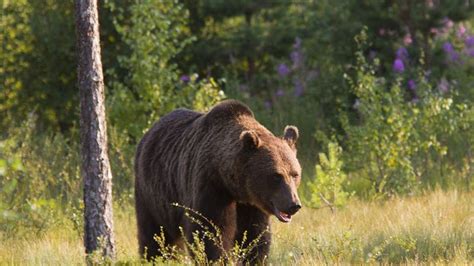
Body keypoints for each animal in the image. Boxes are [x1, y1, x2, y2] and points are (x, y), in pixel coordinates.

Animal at [135, 100, 302, 264]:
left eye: (295, 174)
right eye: (276, 176)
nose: (293, 204)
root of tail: (149, 132)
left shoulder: (252, 204)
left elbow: (255, 234)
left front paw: (254, 258)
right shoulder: (211, 187)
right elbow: (210, 231)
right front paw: (217, 258)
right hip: (153, 192)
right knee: (155, 233)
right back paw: (154, 257)